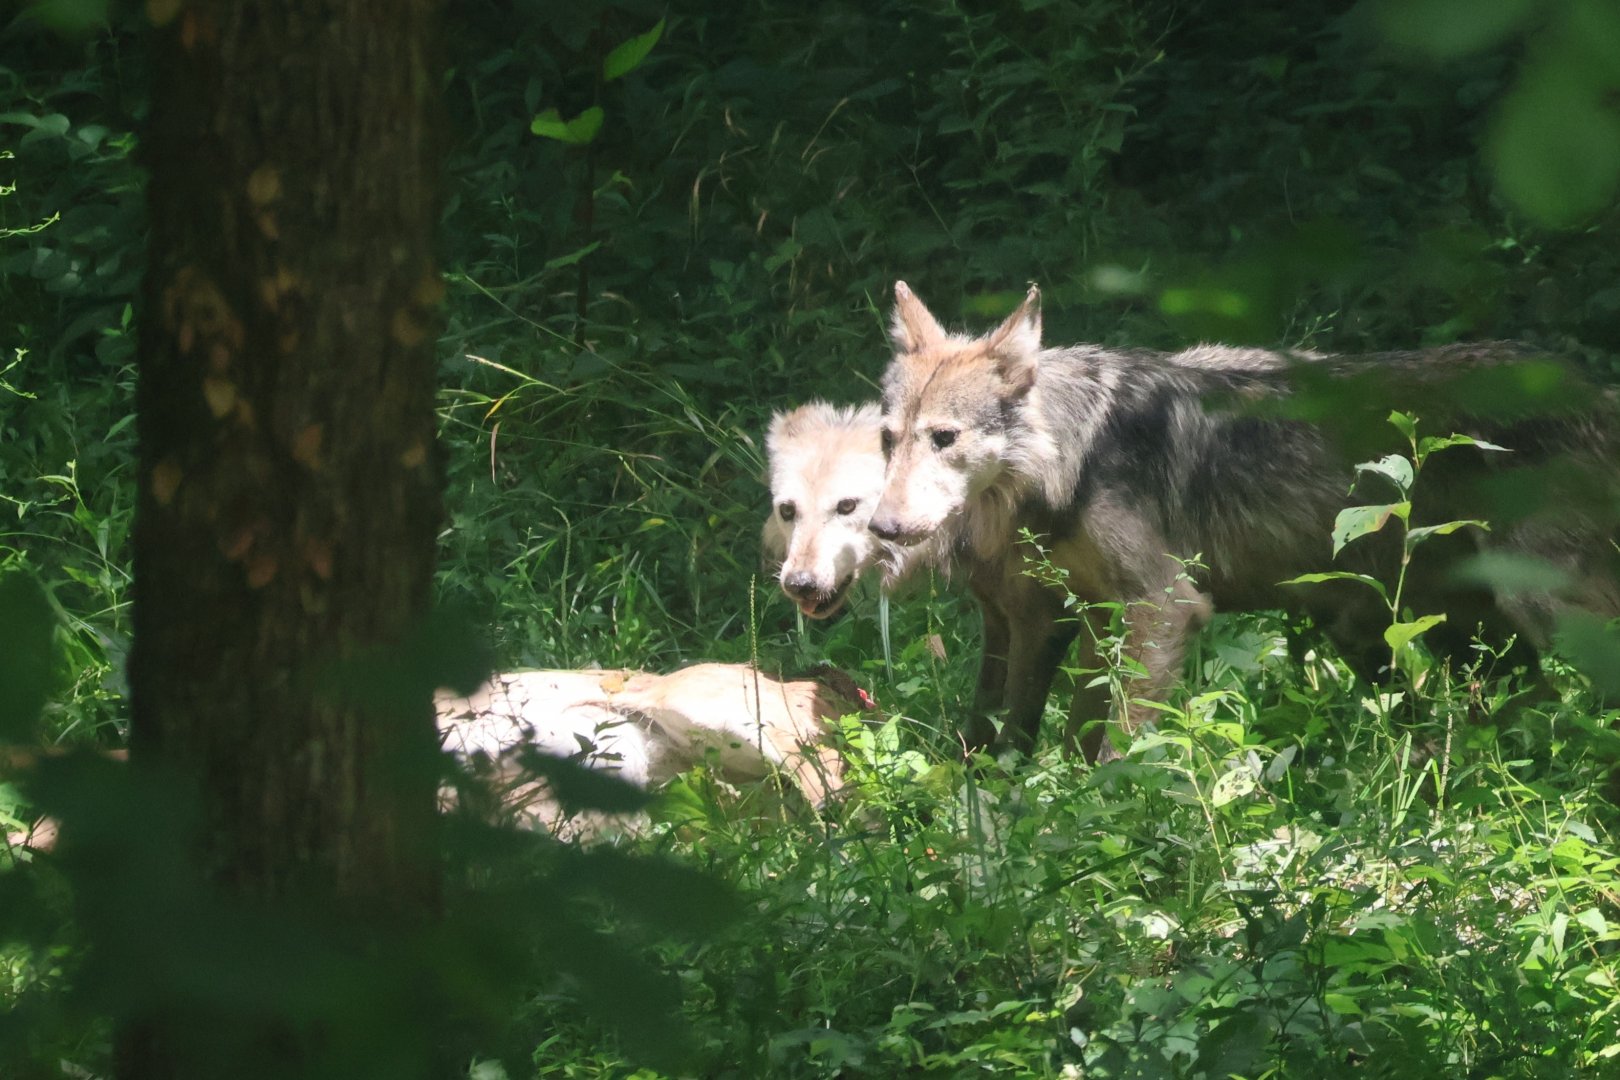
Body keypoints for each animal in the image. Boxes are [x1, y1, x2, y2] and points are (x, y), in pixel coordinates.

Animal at [869, 281, 1620, 758]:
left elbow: (1119, 747)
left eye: (945, 438)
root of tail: (1596, 389)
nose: (882, 528)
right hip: (1436, 628)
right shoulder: (1083, 616)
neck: (1075, 456)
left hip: (1536, 609)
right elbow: (1063, 736)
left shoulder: (1162, 608)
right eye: (888, 439)